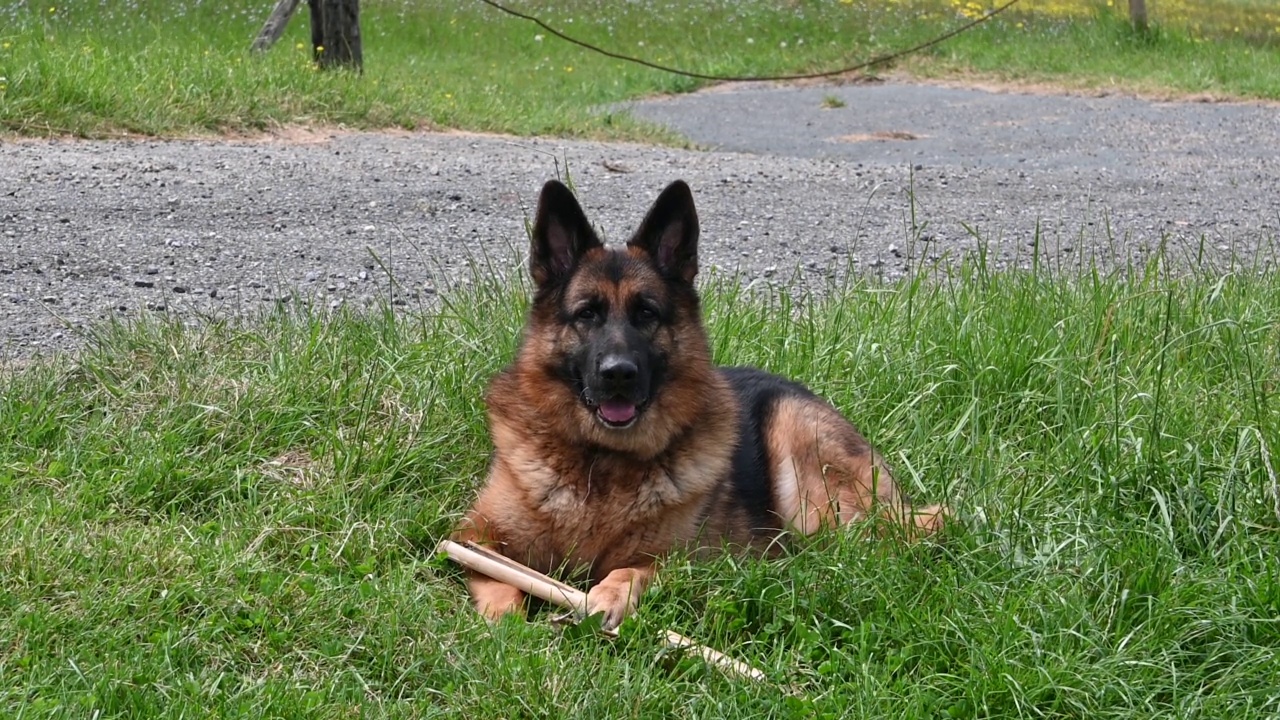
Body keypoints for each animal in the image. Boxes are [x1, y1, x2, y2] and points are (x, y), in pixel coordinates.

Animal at [455, 179, 947, 627]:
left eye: (647, 313)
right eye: (587, 314)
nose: (618, 374)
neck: (603, 462)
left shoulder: (692, 559)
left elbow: (633, 569)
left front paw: (608, 595)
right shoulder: (475, 535)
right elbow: (495, 580)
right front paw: (505, 626)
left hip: (811, 484)